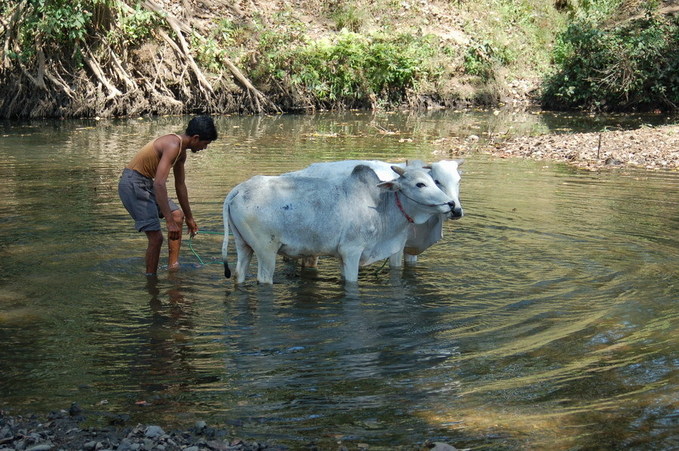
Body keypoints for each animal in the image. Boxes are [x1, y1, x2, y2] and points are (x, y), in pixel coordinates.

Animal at [224, 166, 456, 284]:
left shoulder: (341, 256)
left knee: (239, 273)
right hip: (266, 251)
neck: (380, 207)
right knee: (264, 278)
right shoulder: (352, 251)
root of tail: (239, 189)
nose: (451, 204)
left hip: (243, 245)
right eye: (420, 184)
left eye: (434, 181)